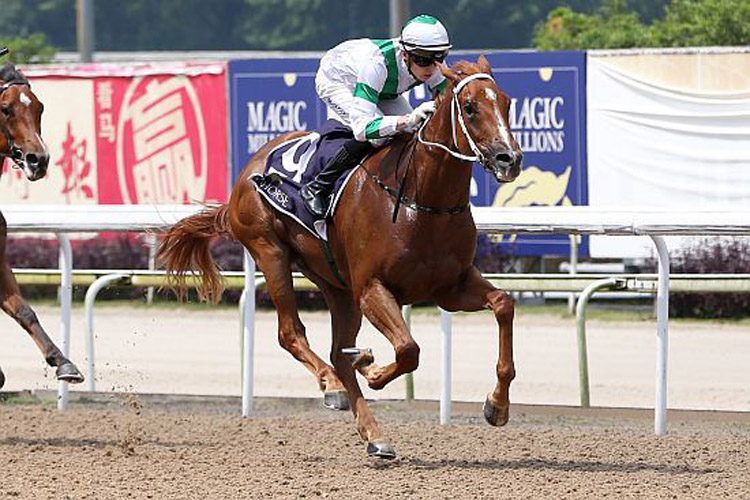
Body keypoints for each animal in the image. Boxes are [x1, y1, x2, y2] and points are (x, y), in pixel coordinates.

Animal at [159, 56, 524, 458]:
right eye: (470, 107)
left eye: (507, 102)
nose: (509, 158)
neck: (422, 199)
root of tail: (246, 172)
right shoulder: (372, 288)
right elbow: (408, 349)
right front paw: (372, 369)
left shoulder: (450, 287)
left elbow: (503, 304)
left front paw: (498, 405)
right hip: (270, 252)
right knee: (292, 333)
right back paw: (333, 386)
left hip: (336, 284)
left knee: (336, 352)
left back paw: (373, 433)